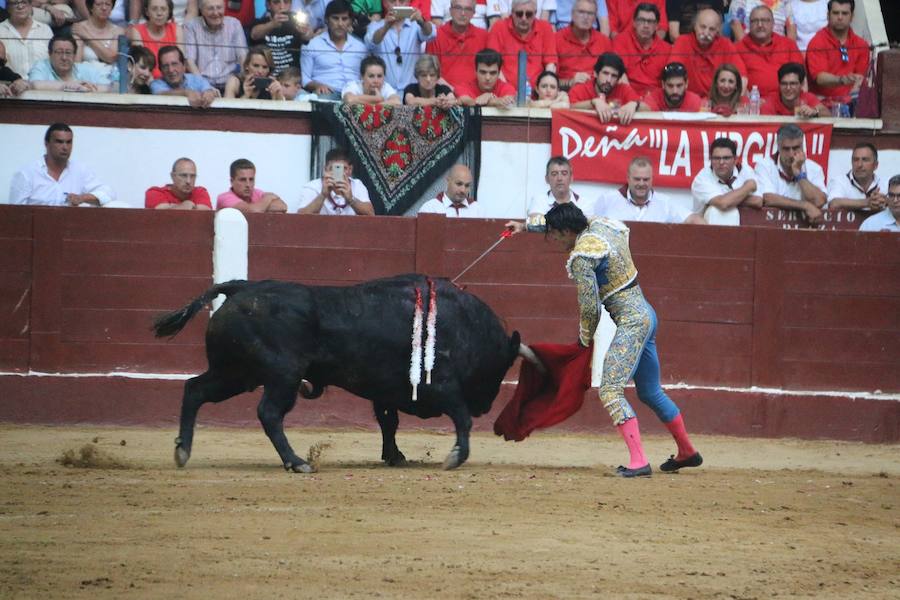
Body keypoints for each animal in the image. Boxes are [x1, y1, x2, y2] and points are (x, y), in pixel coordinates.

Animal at [152, 274, 524, 472]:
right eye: (501, 368)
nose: (485, 407)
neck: (468, 328)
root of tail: (241, 287)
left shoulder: (385, 393)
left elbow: (389, 423)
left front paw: (395, 456)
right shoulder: (443, 386)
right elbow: (461, 419)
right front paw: (455, 457)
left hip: (236, 373)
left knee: (195, 389)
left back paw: (182, 450)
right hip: (281, 376)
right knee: (269, 412)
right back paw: (297, 462)